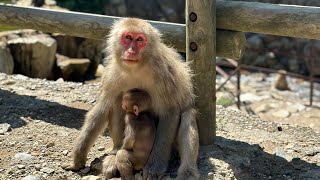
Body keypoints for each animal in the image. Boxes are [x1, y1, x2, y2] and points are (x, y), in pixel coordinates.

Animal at [64, 17, 199, 179]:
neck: (137, 67)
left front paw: (154, 168)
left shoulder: (164, 74)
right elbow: (102, 108)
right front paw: (78, 158)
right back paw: (115, 151)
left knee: (187, 115)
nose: (131, 51)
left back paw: (188, 172)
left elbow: (170, 112)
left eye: (140, 39)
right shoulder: (111, 72)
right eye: (128, 37)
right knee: (116, 100)